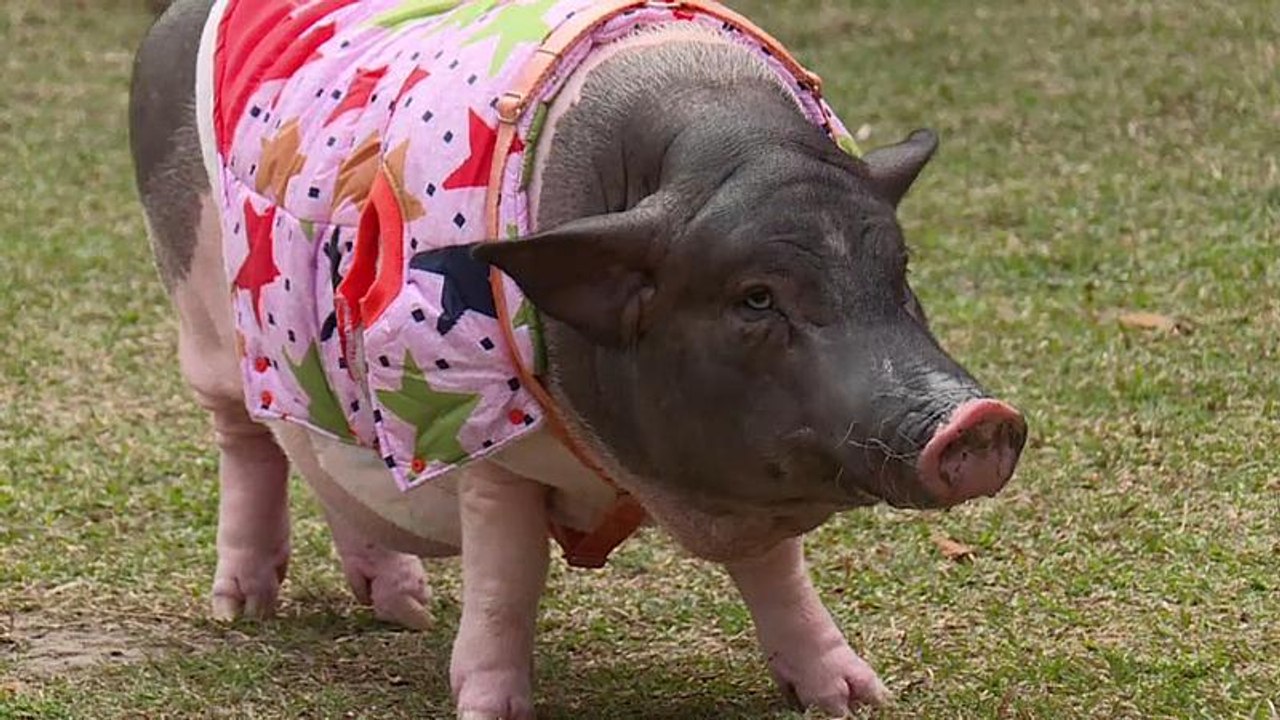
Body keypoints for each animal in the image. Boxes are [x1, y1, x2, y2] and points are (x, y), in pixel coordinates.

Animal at [129, 0, 1027, 717]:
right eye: (755, 298)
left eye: (899, 270)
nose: (981, 420)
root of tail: (176, 17)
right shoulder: (478, 437)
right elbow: (508, 579)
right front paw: (492, 709)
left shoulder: (741, 461)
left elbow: (777, 572)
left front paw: (859, 698)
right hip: (203, 312)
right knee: (248, 442)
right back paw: (241, 609)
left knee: (327, 461)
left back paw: (404, 610)